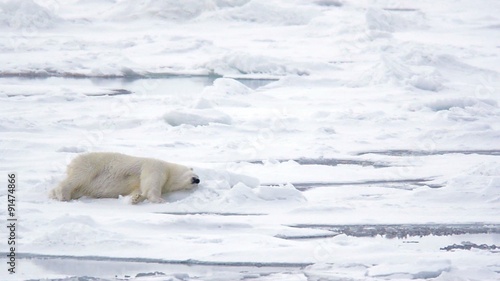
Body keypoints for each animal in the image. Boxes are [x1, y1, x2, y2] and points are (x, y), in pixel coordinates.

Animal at [49, 152, 199, 202]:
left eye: (197, 180)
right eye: (195, 175)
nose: (197, 180)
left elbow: (140, 188)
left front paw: (135, 198)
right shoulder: (155, 166)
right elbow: (152, 182)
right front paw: (159, 199)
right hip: (90, 164)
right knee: (77, 178)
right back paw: (63, 195)